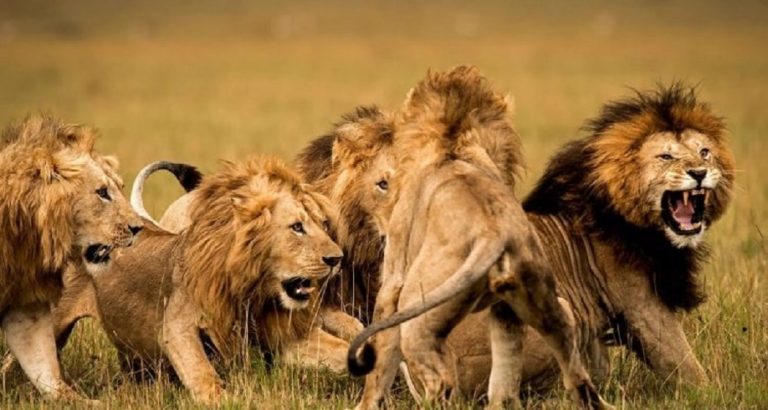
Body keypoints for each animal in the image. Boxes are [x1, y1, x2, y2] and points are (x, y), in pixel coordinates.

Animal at [345, 67, 610, 409]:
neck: (453, 142)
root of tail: (492, 233)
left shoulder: (392, 281)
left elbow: (379, 363)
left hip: (418, 314)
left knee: (440, 380)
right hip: (544, 304)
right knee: (566, 370)